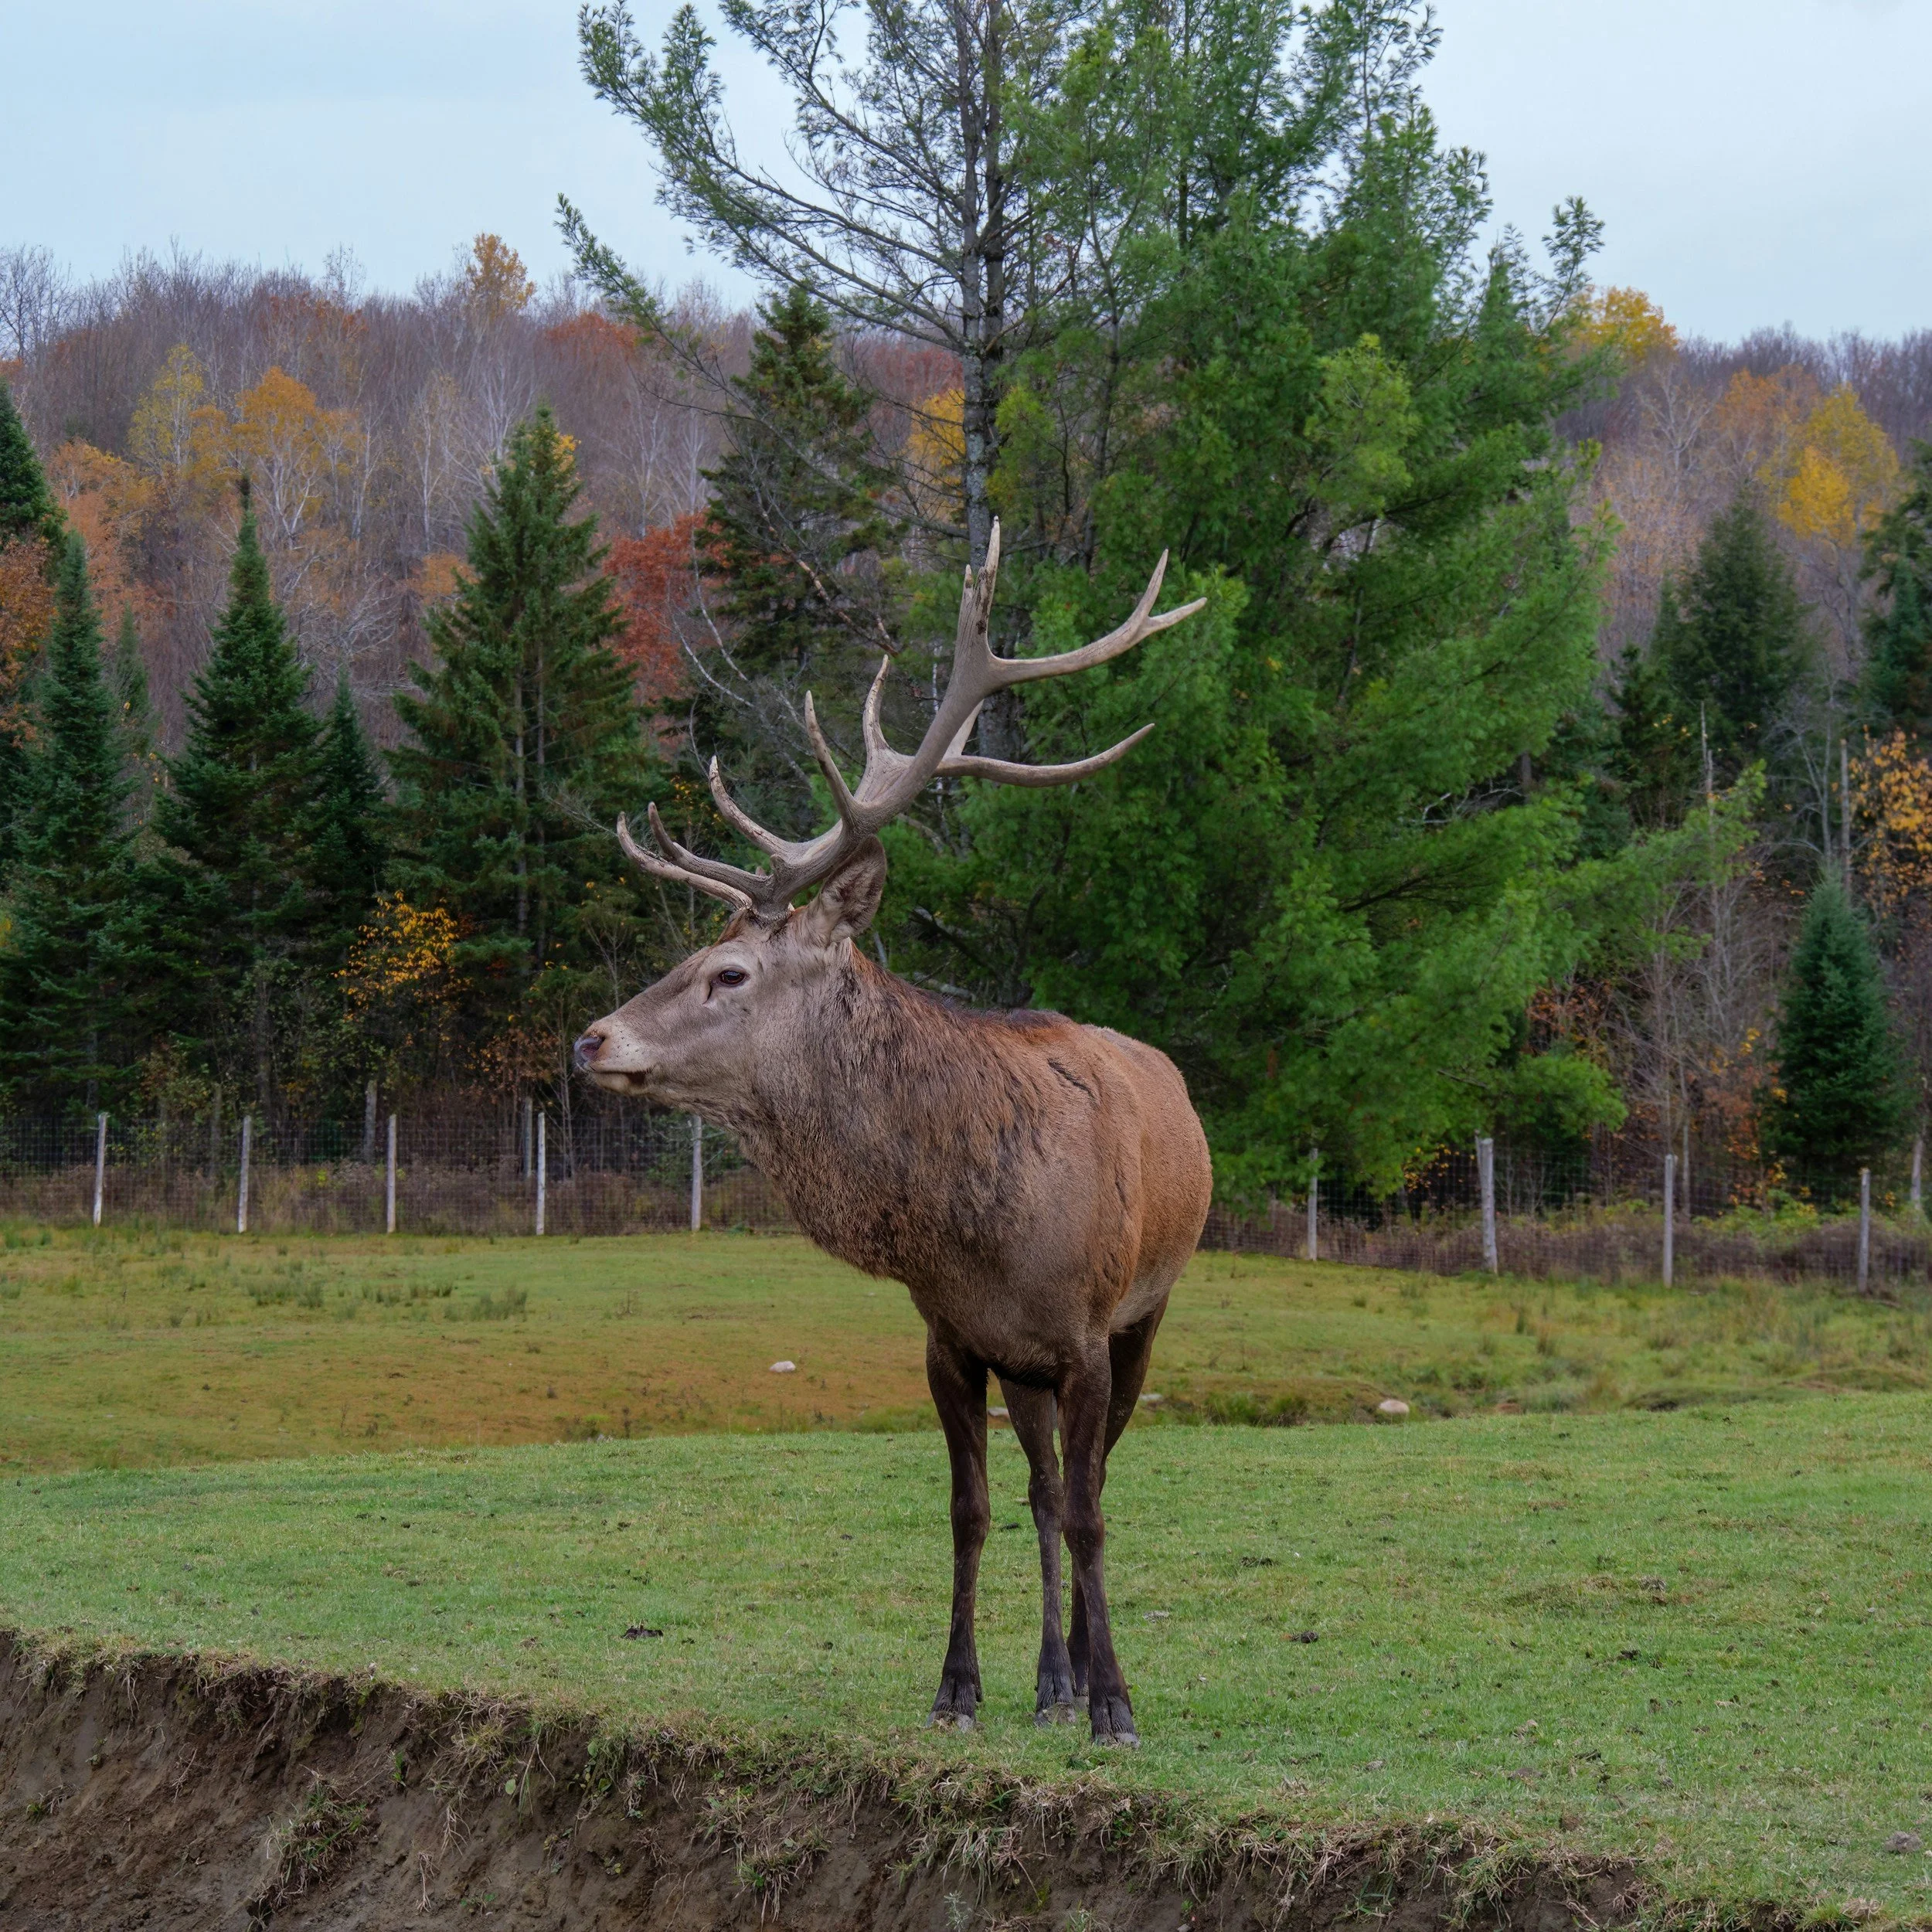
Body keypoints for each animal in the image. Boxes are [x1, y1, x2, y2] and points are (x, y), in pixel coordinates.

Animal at [573, 523, 1212, 1745]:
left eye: (731, 972)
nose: (590, 1039)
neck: (974, 1230)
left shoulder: (1089, 1331)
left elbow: (1095, 1512)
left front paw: (1117, 1701)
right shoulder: (952, 1338)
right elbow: (973, 1509)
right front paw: (961, 1685)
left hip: (1147, 1311)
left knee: (1088, 1486)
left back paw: (1080, 1675)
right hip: (1026, 1368)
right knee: (1040, 1490)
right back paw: (1048, 1678)